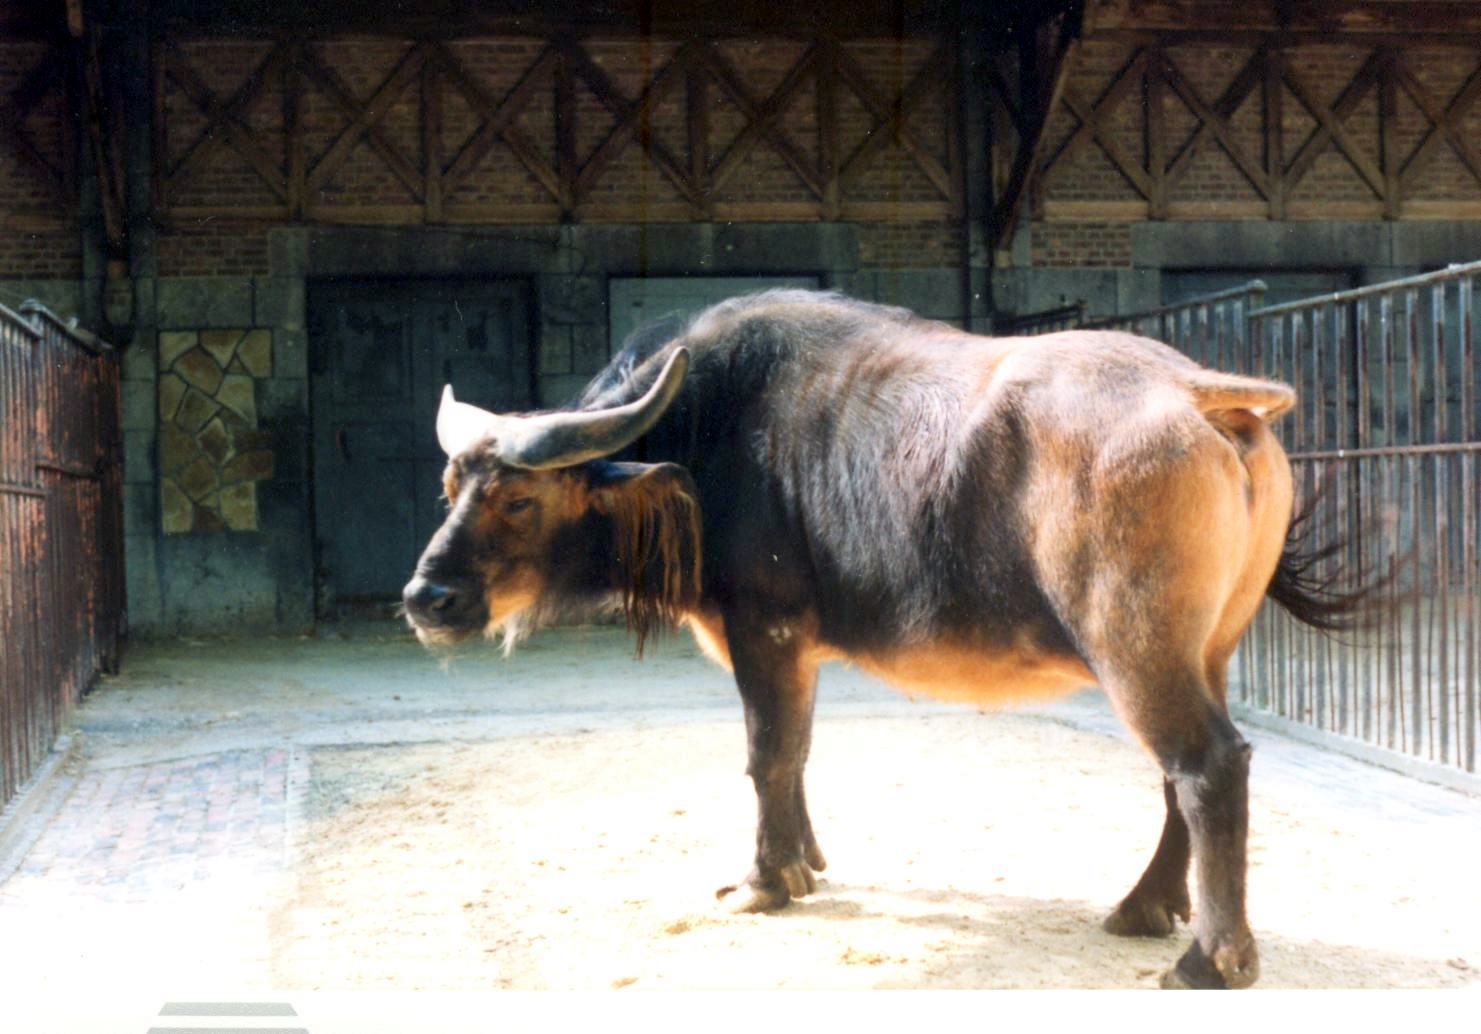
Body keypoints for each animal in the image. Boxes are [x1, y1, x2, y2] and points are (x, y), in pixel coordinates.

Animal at [402, 289, 1359, 988]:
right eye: (449, 485)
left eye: (517, 497)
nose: (425, 597)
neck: (707, 437)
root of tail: (1195, 393)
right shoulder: (796, 648)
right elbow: (797, 753)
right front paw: (807, 864)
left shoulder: (762, 630)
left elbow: (767, 754)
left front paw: (763, 881)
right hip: (1202, 651)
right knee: (1180, 775)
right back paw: (1142, 908)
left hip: (1132, 649)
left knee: (1205, 766)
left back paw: (1210, 960)